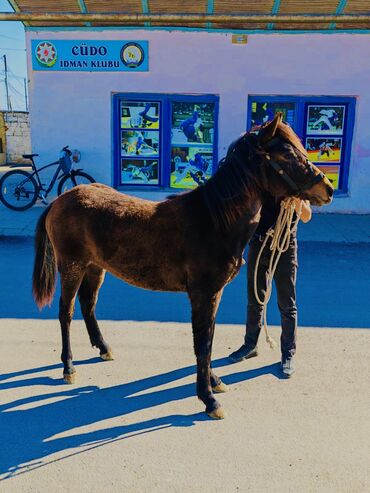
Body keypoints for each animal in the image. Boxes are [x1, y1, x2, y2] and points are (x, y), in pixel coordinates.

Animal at [31, 112, 332, 418]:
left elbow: (208, 338)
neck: (214, 221)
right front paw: (209, 399)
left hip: (95, 267)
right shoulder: (203, 293)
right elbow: (203, 343)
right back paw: (69, 368)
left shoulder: (213, 294)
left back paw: (104, 348)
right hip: (72, 266)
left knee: (88, 305)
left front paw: (214, 383)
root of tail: (59, 200)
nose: (328, 189)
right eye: (286, 154)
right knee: (66, 312)